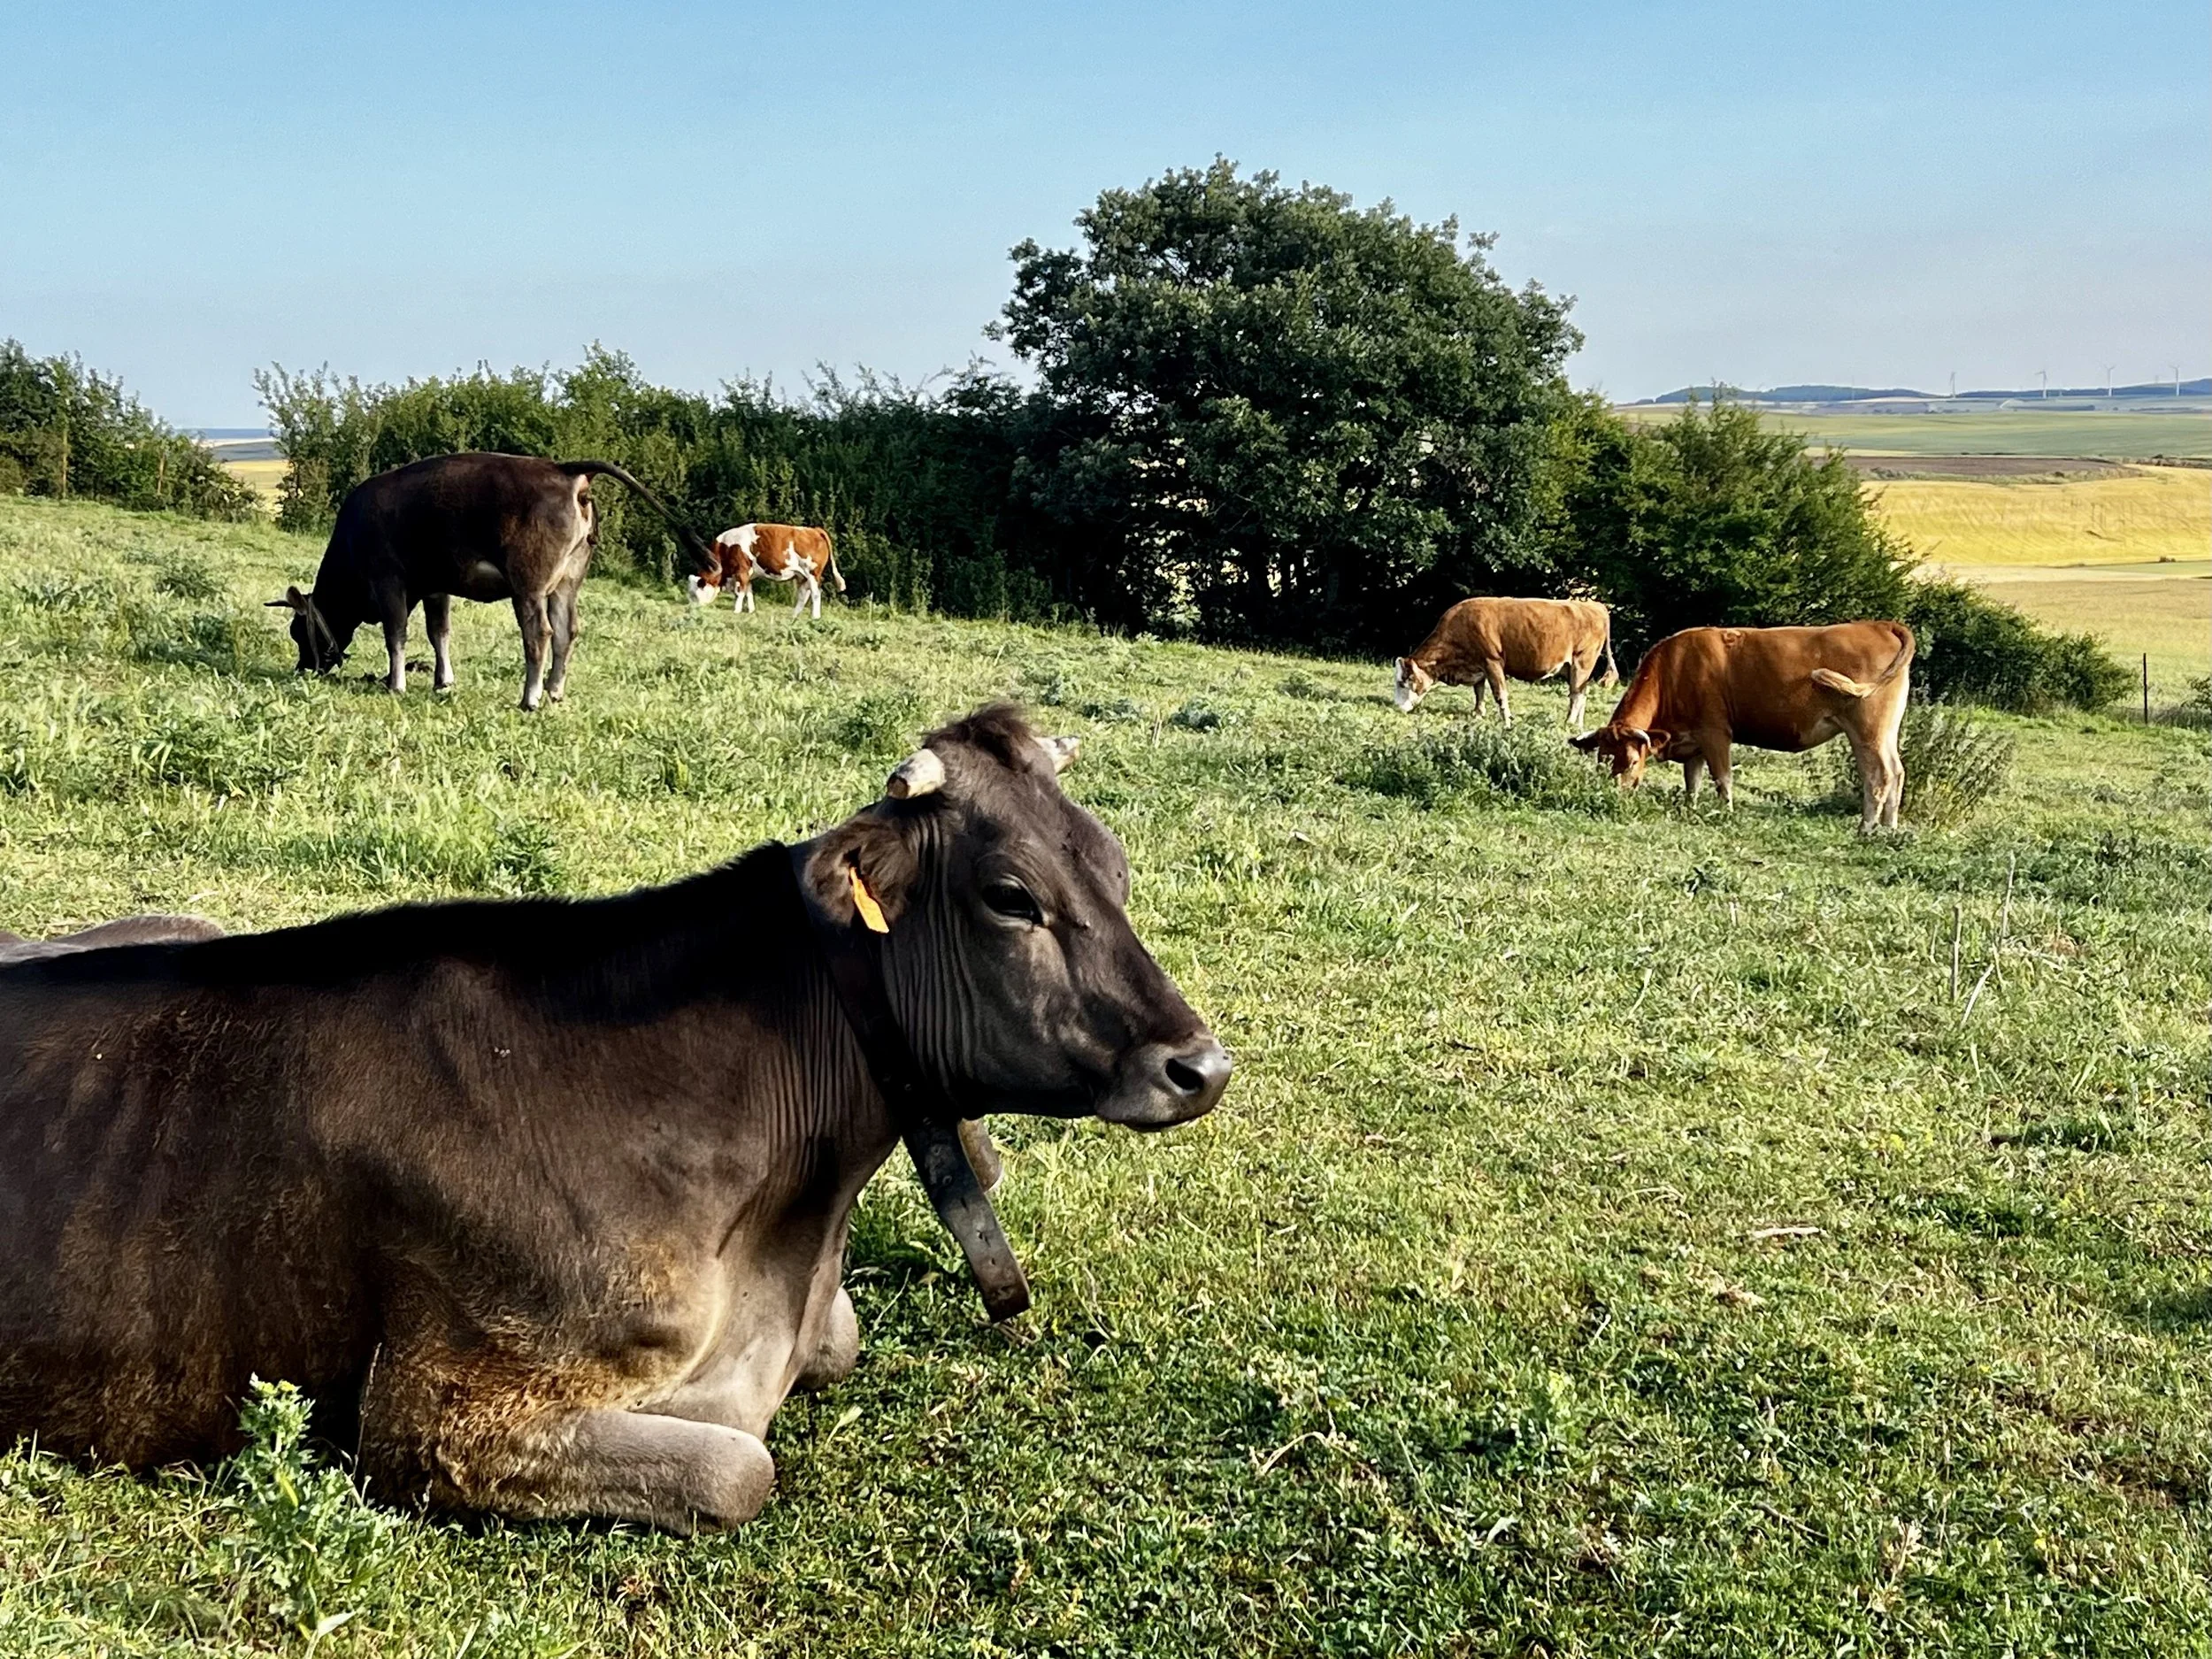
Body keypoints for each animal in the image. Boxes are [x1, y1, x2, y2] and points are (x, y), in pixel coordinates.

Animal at [0, 706, 1231, 1532]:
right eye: (1011, 897)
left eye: (1116, 867)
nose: (1200, 1065)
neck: (785, 1230)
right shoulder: (438, 1413)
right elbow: (738, 1469)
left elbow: (837, 1343)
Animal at [269, 453, 716, 711]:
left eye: (297, 632)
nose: (304, 668)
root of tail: (566, 470)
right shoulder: (436, 585)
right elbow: (439, 632)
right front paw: (443, 681)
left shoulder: (389, 579)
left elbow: (396, 635)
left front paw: (395, 684)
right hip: (567, 582)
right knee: (566, 631)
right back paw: (554, 690)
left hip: (529, 584)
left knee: (539, 634)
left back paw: (530, 697)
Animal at [687, 523, 845, 619]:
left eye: (695, 594)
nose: (692, 609)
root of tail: (814, 530)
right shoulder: (748, 574)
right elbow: (749, 591)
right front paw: (751, 610)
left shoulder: (742, 570)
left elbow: (741, 591)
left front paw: (736, 610)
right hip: (802, 576)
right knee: (803, 595)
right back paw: (794, 615)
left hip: (812, 573)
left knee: (816, 594)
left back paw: (815, 616)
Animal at [1393, 597, 1619, 731]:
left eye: (1403, 682)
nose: (1397, 707)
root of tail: (1593, 605)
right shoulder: (1478, 665)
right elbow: (1479, 691)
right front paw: (1478, 714)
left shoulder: (1492, 661)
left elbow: (1499, 694)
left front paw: (1507, 721)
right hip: (1574, 668)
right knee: (1582, 692)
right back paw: (1578, 726)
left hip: (1582, 662)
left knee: (1577, 695)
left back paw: (1568, 722)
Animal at [1571, 622, 1915, 829]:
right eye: (1602, 759)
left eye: (1632, 761)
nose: (1613, 796)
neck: (1676, 668)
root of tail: (1877, 625)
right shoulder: (1693, 743)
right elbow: (1692, 783)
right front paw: (1691, 809)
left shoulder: (1715, 733)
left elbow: (1723, 779)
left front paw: (1725, 813)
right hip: (1882, 732)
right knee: (1896, 772)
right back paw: (1889, 828)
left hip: (1869, 729)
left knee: (1880, 775)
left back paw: (1867, 828)